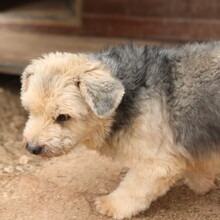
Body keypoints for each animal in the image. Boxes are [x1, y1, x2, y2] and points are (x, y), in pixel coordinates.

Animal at [20, 42, 220, 218]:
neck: (127, 96)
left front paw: (111, 205)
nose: (32, 148)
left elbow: (134, 188)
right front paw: (201, 183)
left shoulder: (157, 164)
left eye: (62, 117)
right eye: (31, 110)